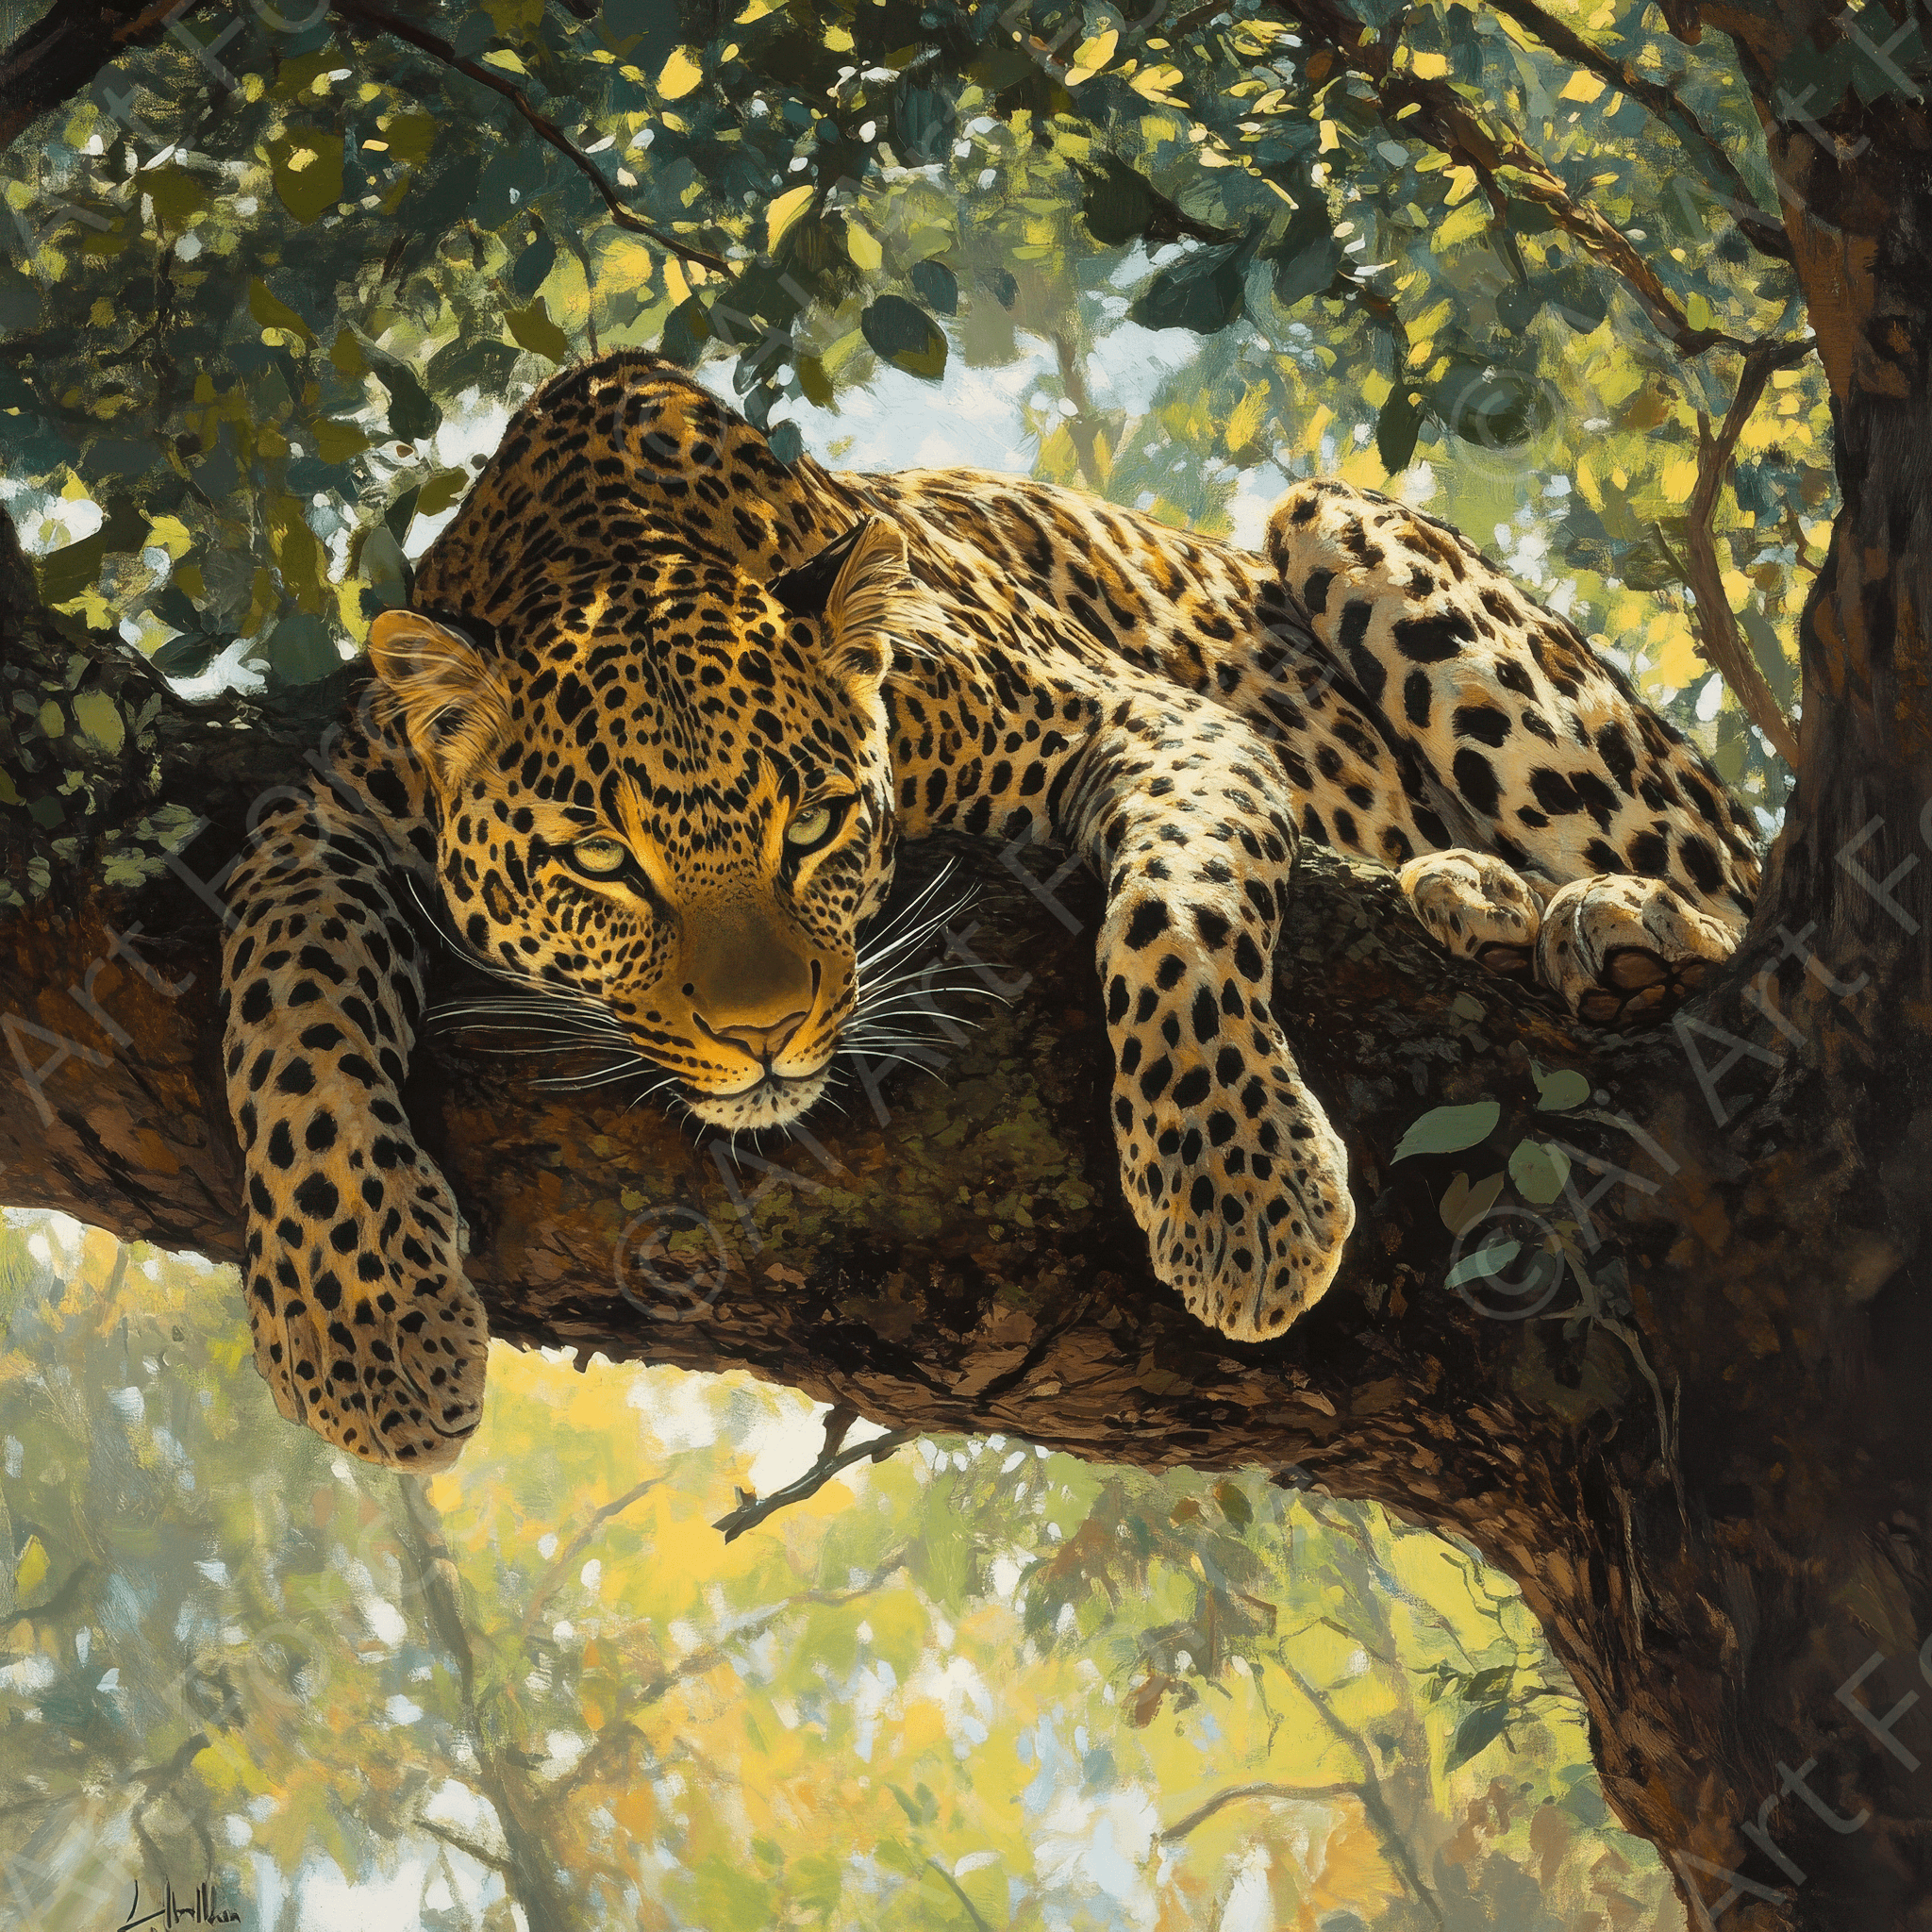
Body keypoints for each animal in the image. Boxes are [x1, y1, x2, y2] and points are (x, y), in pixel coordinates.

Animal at [217, 348, 1760, 1470]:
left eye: (815, 824)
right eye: (604, 862)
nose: (765, 1036)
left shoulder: (1147, 718)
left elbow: (1176, 918)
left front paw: (1241, 1192)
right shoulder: (315, 817)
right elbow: (284, 1018)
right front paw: (366, 1331)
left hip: (1354, 526)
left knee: (1740, 905)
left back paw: (1608, 923)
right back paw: (1481, 894)